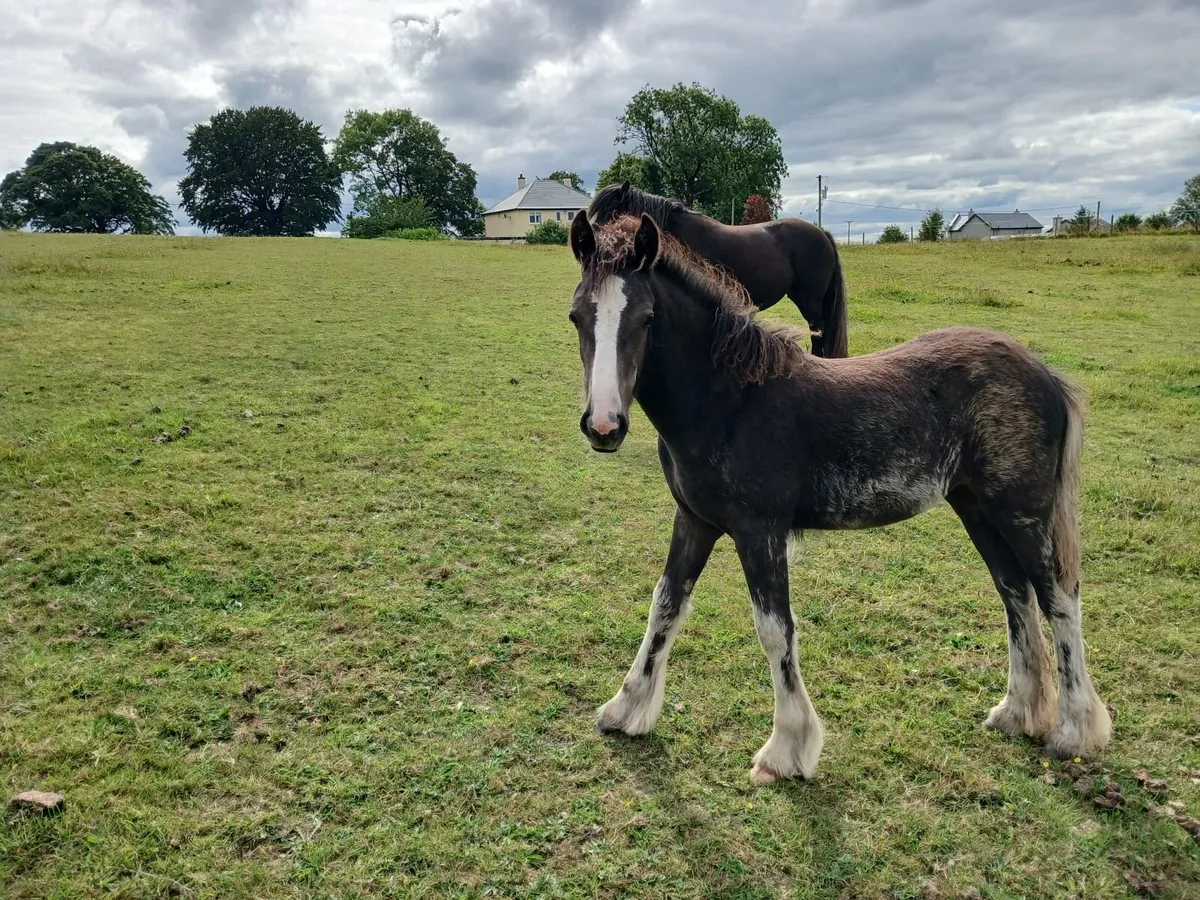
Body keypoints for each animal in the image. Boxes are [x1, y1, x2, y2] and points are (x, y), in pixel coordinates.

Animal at [566, 211, 1111, 784]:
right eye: (577, 316)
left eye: (647, 318)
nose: (604, 426)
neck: (729, 401)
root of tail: (1045, 373)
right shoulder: (694, 520)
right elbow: (665, 606)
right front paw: (625, 710)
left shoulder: (759, 531)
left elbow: (774, 629)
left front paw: (785, 751)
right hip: (977, 509)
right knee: (1015, 593)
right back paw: (1018, 713)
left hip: (1023, 513)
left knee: (1057, 598)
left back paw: (1073, 731)